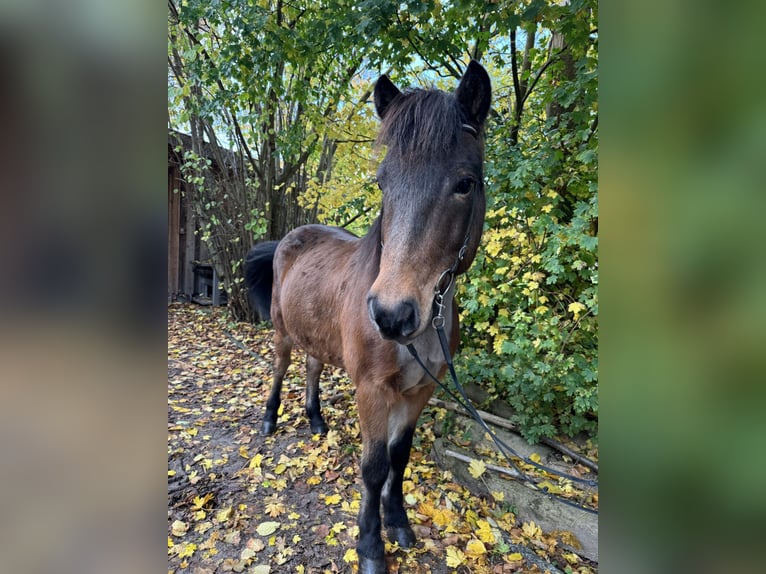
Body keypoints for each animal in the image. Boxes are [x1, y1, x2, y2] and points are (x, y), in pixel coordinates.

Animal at [245, 61, 491, 574]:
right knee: (280, 367)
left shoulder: (418, 392)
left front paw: (399, 522)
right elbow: (374, 467)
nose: (391, 314)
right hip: (281, 331)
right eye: (382, 183)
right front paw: (371, 547)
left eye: (464, 183)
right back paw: (270, 420)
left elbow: (400, 456)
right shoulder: (373, 390)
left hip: (315, 334)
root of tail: (288, 238)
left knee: (313, 366)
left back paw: (316, 421)